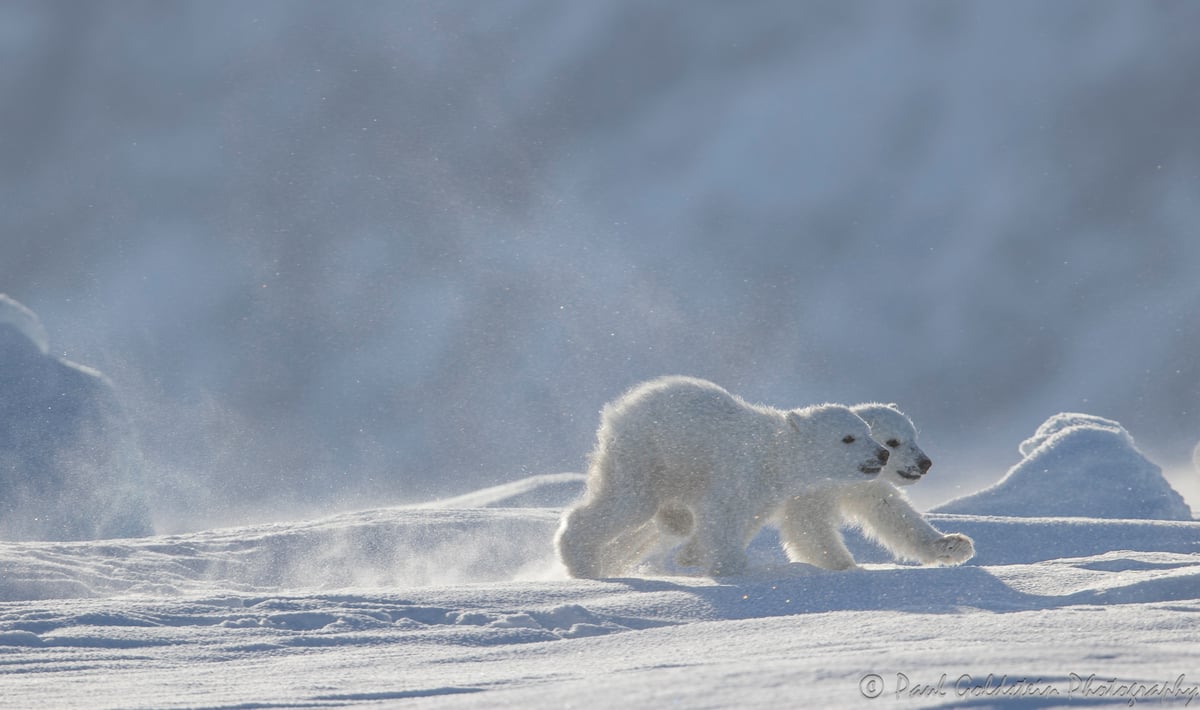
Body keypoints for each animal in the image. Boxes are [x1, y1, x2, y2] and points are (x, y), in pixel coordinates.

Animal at [554, 376, 974, 575]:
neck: (779, 454)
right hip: (650, 456)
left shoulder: (855, 487)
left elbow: (891, 514)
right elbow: (807, 531)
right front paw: (846, 568)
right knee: (628, 504)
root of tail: (620, 407)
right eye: (892, 440)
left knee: (664, 522)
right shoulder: (781, 485)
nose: (924, 463)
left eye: (914, 436)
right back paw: (581, 559)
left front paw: (954, 545)